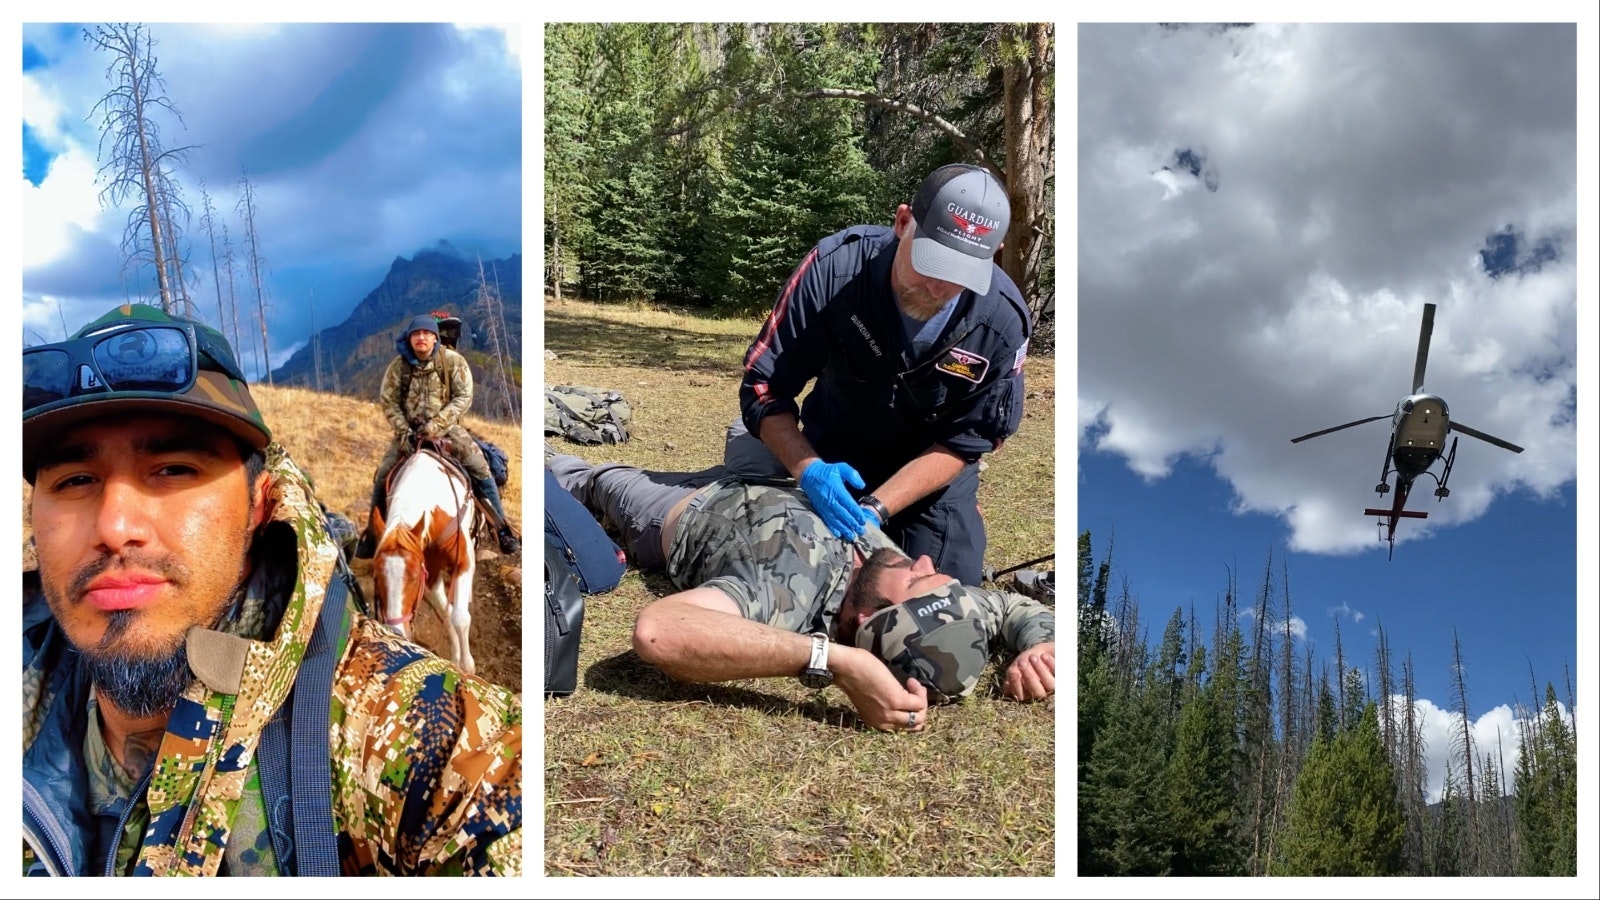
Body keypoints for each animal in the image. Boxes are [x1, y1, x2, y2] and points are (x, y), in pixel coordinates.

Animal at [371, 448, 476, 672]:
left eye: (413, 577)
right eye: (377, 578)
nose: (397, 632)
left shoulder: (463, 562)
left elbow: (460, 617)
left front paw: (468, 666)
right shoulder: (432, 574)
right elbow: (447, 615)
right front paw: (456, 660)